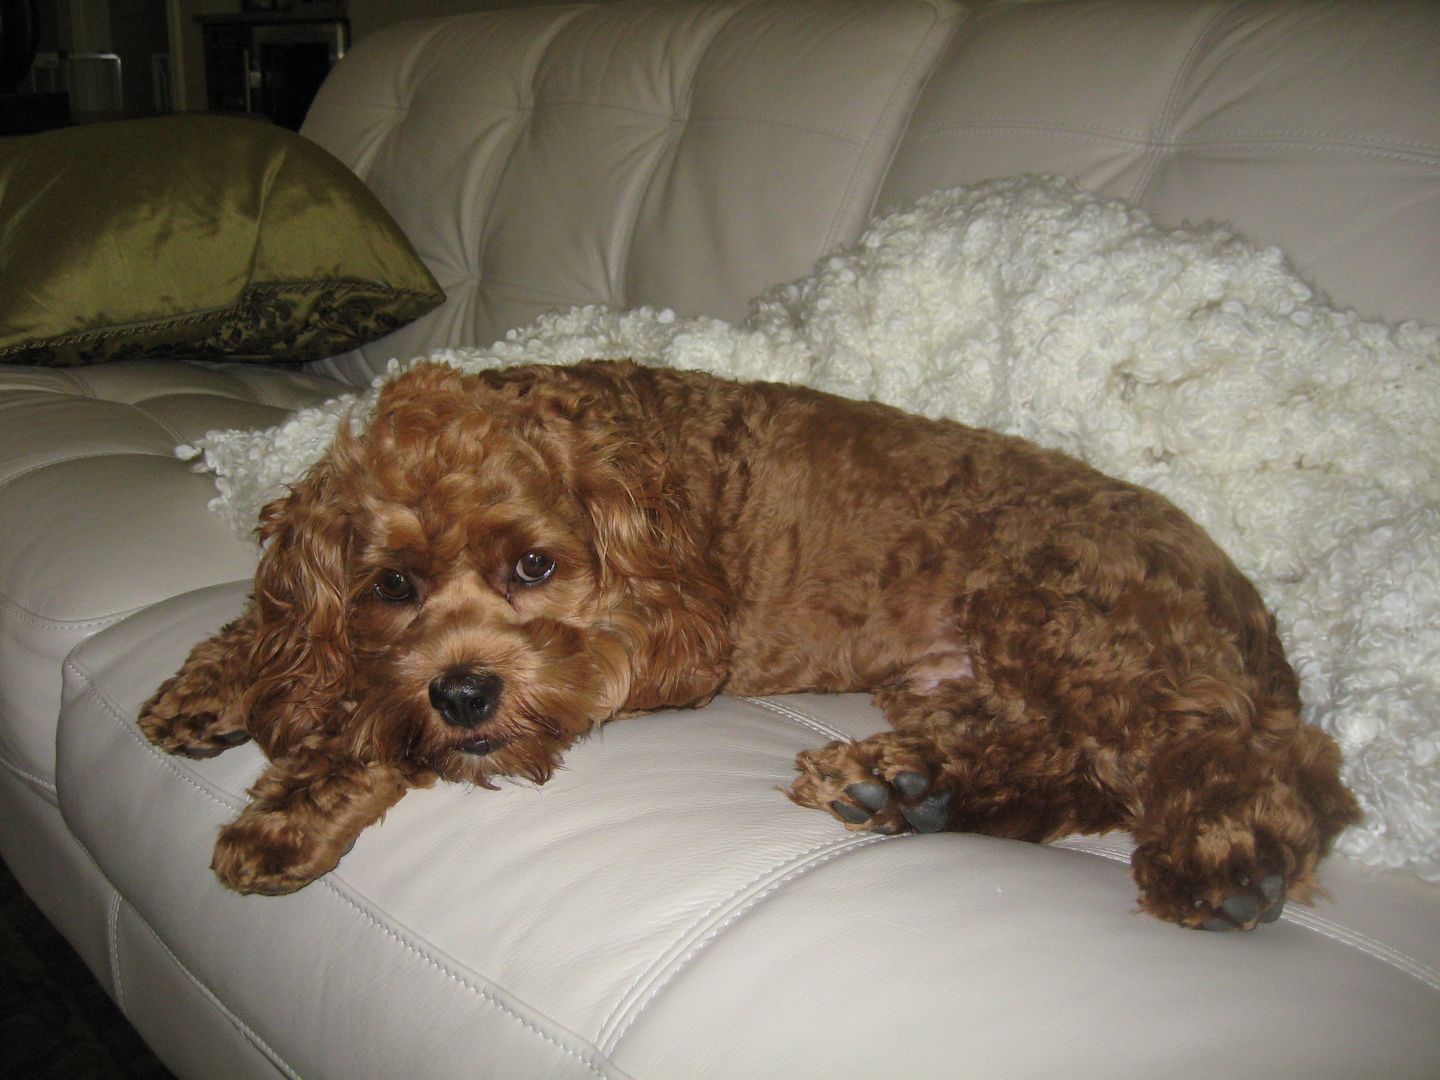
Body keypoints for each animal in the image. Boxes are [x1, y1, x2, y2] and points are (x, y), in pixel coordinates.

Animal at [140, 364, 1353, 933]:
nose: (466, 694)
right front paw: (219, 683)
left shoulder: (627, 653)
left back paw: (1231, 858)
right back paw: (907, 786)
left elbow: (378, 729)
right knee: (1076, 773)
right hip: (987, 671)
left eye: (534, 566)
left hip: (1063, 610)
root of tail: (1249, 607)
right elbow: (286, 640)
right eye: (390, 584)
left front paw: (292, 803)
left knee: (1256, 760)